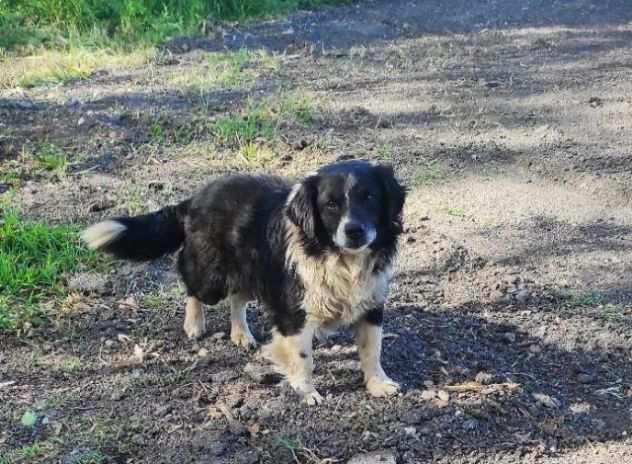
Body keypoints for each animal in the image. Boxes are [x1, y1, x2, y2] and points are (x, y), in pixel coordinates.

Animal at [82, 160, 404, 402]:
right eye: (331, 204)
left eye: (370, 197)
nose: (355, 231)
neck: (339, 258)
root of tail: (195, 198)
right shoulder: (294, 313)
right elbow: (303, 355)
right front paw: (305, 391)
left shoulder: (372, 306)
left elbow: (372, 350)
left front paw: (378, 383)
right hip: (210, 277)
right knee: (193, 286)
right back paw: (194, 324)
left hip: (250, 271)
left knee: (237, 298)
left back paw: (241, 334)